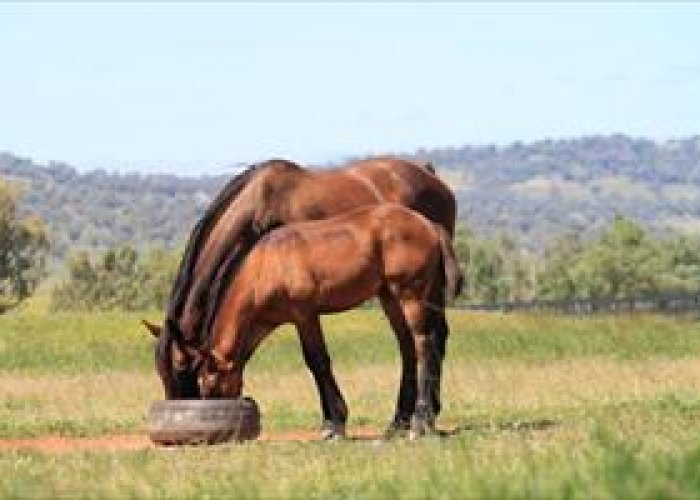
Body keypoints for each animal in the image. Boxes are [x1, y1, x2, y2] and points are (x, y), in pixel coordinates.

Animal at [194, 203, 462, 439]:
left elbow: (318, 362)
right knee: (409, 349)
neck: (267, 264)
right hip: (391, 299)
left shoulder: (305, 316)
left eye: (211, 385)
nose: (216, 421)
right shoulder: (266, 324)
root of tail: (429, 224)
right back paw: (400, 424)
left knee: (424, 344)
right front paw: (332, 422)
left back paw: (419, 421)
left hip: (409, 296)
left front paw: (335, 424)